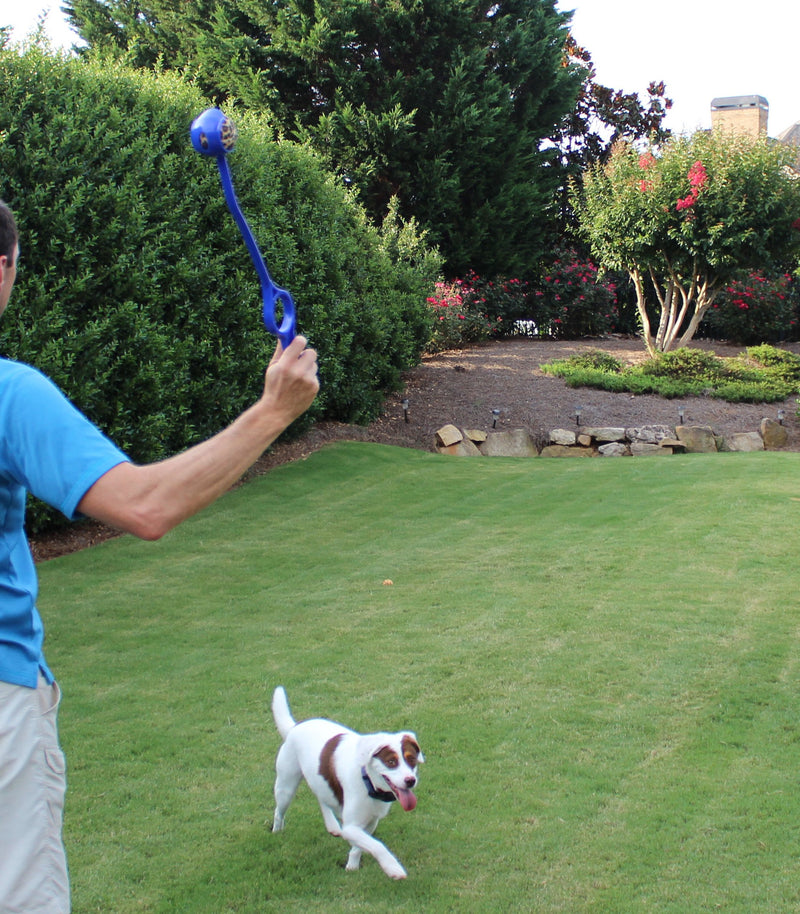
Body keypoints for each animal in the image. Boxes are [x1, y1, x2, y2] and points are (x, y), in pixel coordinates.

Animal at [272, 684, 424, 876]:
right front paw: (393, 868)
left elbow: (361, 846)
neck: (368, 783)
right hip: (286, 787)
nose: (410, 780)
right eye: (391, 762)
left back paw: (332, 826)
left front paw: (352, 864)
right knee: (279, 811)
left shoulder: (370, 822)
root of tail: (294, 727)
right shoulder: (351, 827)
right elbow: (377, 845)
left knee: (321, 798)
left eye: (412, 760)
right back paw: (277, 831)